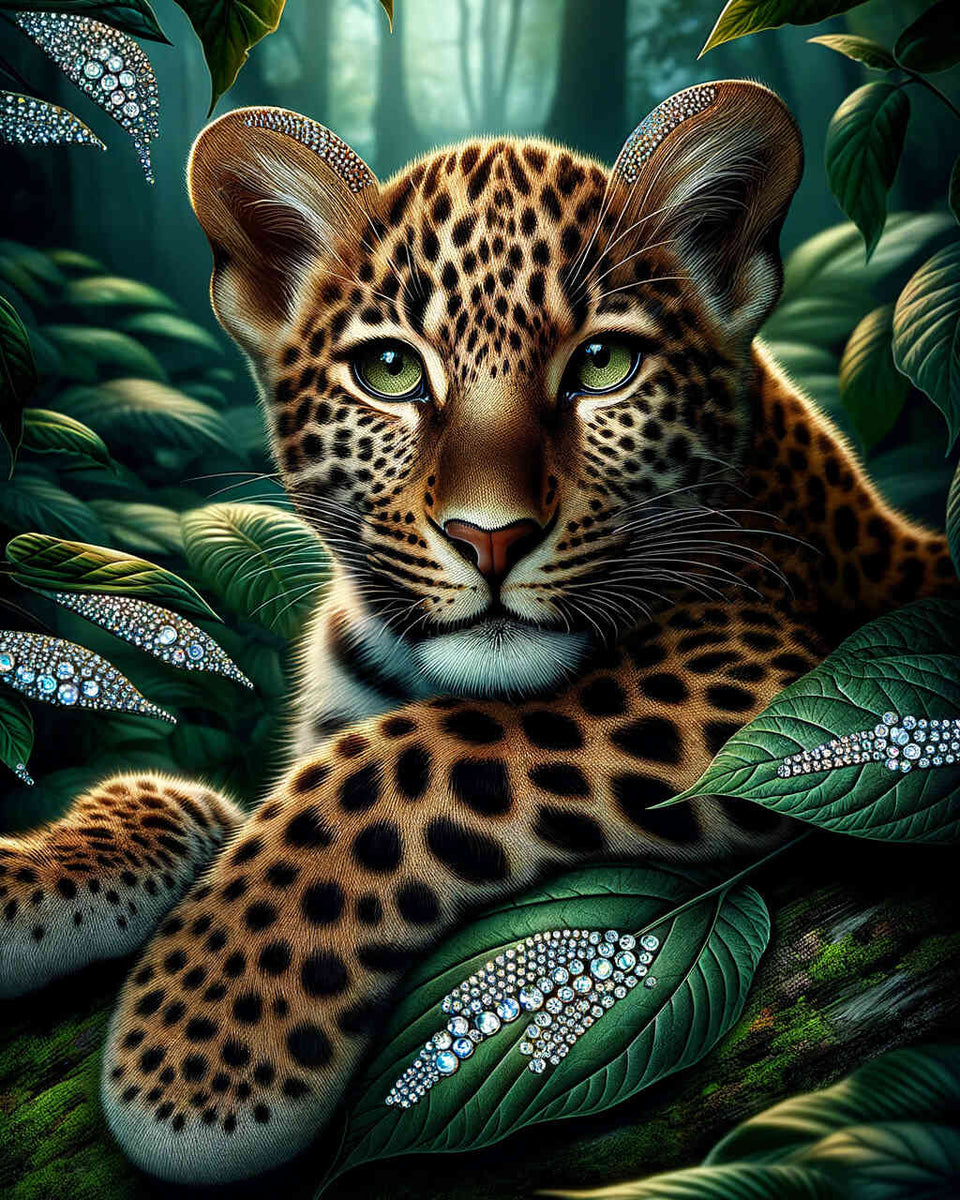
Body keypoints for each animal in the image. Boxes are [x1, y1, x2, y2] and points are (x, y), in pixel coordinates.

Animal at [0, 80, 955, 1185]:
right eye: (388, 371)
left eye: (604, 363)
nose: (488, 537)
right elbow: (184, 796)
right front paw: (25, 886)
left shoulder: (765, 675)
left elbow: (411, 758)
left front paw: (209, 1032)